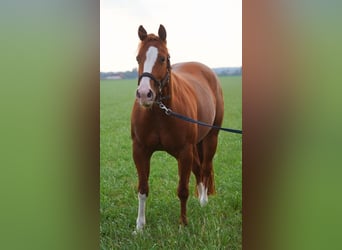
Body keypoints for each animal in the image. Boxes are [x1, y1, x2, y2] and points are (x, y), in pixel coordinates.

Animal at [131, 24, 224, 229]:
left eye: (163, 58)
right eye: (138, 58)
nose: (144, 94)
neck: (160, 112)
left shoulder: (184, 151)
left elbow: (182, 190)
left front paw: (183, 223)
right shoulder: (140, 151)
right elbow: (142, 189)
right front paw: (140, 226)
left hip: (211, 138)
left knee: (205, 168)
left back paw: (203, 202)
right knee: (198, 169)